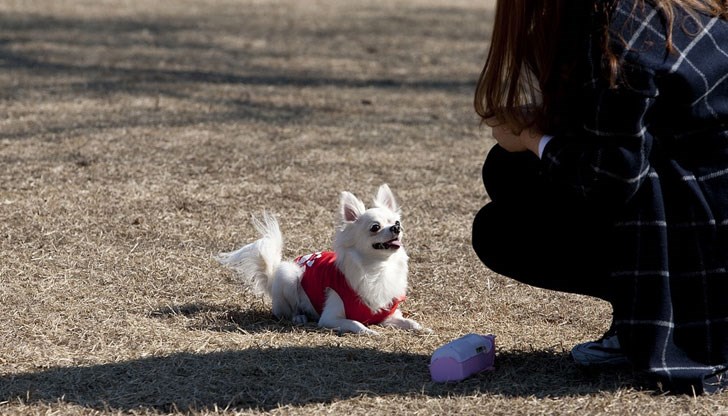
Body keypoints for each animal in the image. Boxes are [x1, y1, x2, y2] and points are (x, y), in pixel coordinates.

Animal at [220, 184, 426, 334]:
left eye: (397, 222)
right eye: (375, 227)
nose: (396, 228)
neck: (378, 268)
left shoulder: (388, 315)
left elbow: (409, 321)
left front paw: (420, 327)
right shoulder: (329, 318)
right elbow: (356, 323)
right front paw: (369, 331)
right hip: (289, 275)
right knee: (286, 311)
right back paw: (299, 317)